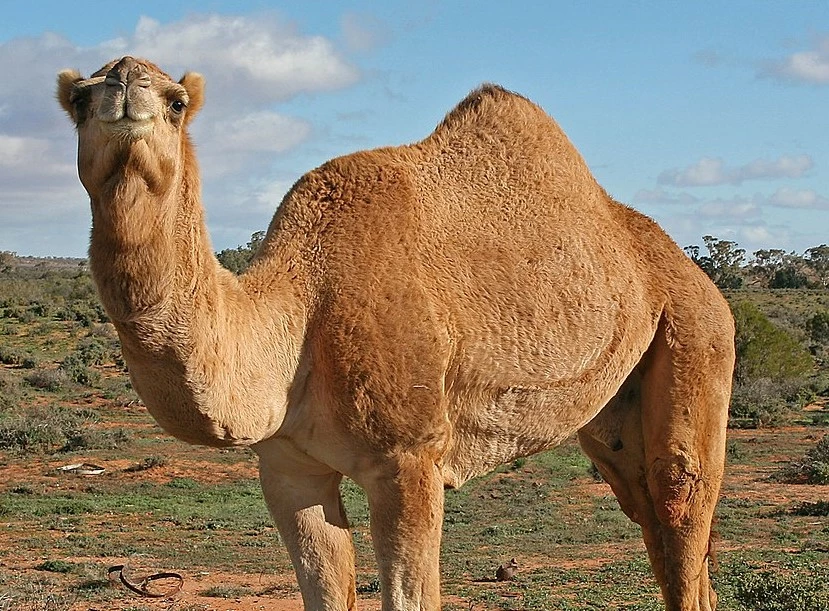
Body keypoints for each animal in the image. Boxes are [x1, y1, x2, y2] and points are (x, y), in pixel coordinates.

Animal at [57, 56, 734, 611]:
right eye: (80, 100)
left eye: (176, 101)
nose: (124, 82)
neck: (298, 316)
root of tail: (699, 279)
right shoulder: (288, 468)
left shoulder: (409, 458)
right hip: (614, 411)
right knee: (658, 524)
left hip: (696, 334)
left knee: (678, 496)